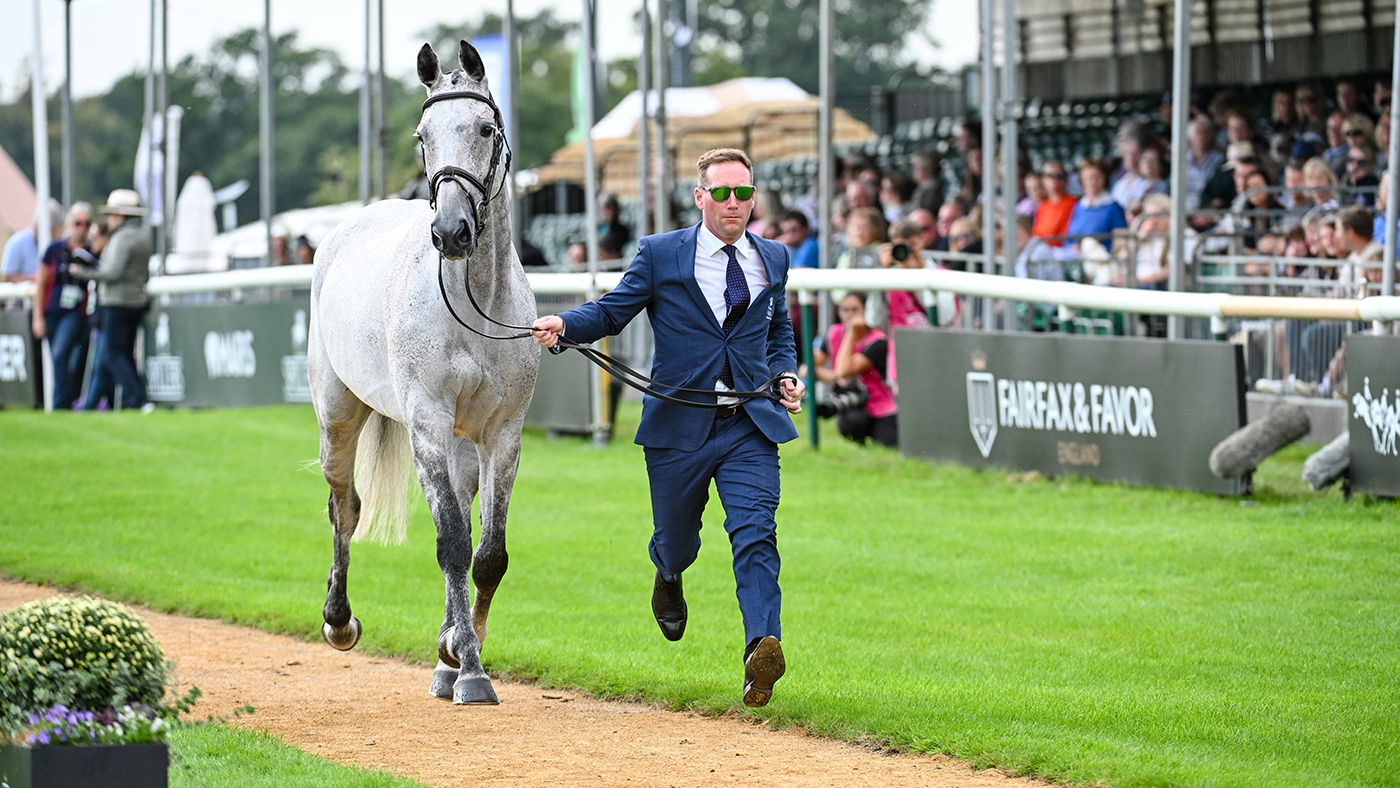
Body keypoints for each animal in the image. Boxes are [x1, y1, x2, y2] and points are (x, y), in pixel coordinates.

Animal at [307, 40, 539, 706]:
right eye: (422, 137)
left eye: (485, 128)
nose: (451, 231)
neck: (474, 303)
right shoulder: (428, 426)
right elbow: (452, 545)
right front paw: (471, 671)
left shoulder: (501, 434)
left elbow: (487, 555)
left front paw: (462, 654)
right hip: (338, 417)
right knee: (345, 507)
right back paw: (339, 620)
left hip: (462, 443)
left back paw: (446, 653)